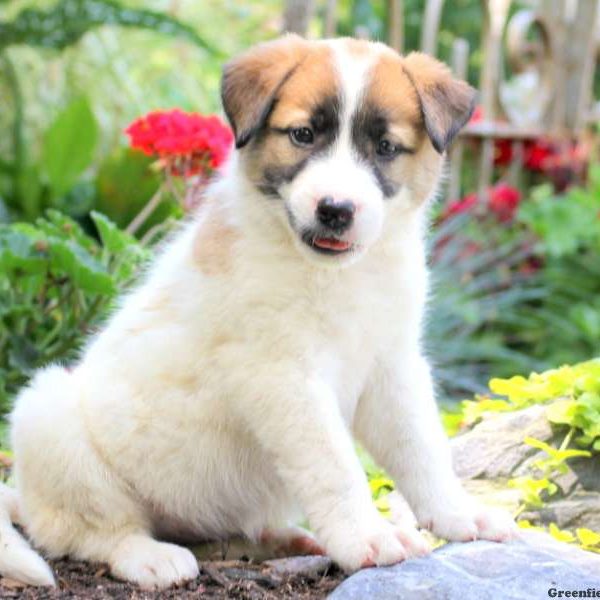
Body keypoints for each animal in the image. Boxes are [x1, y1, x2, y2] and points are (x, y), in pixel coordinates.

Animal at [0, 36, 516, 592]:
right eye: (303, 135)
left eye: (384, 147)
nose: (336, 210)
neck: (336, 275)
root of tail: (25, 497)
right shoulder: (283, 375)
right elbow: (335, 465)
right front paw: (368, 536)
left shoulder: (392, 365)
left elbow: (422, 447)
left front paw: (461, 515)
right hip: (49, 417)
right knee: (90, 533)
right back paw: (150, 556)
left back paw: (287, 539)